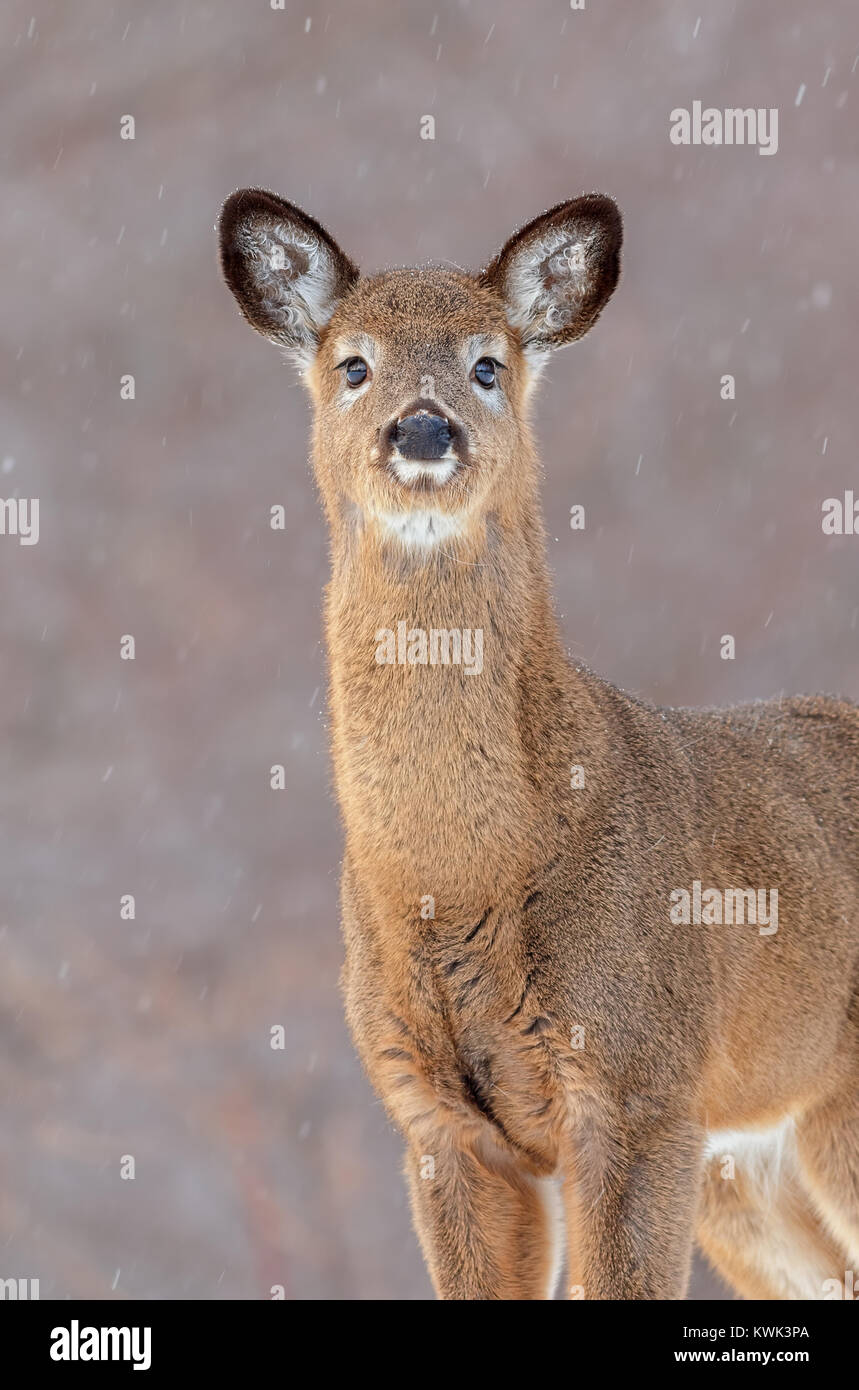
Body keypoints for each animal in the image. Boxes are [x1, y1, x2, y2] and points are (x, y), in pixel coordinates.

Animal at [218, 187, 859, 1301]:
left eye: (487, 363)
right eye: (353, 364)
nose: (422, 426)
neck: (454, 881)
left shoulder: (639, 1084)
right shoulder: (436, 1122)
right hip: (752, 1161)